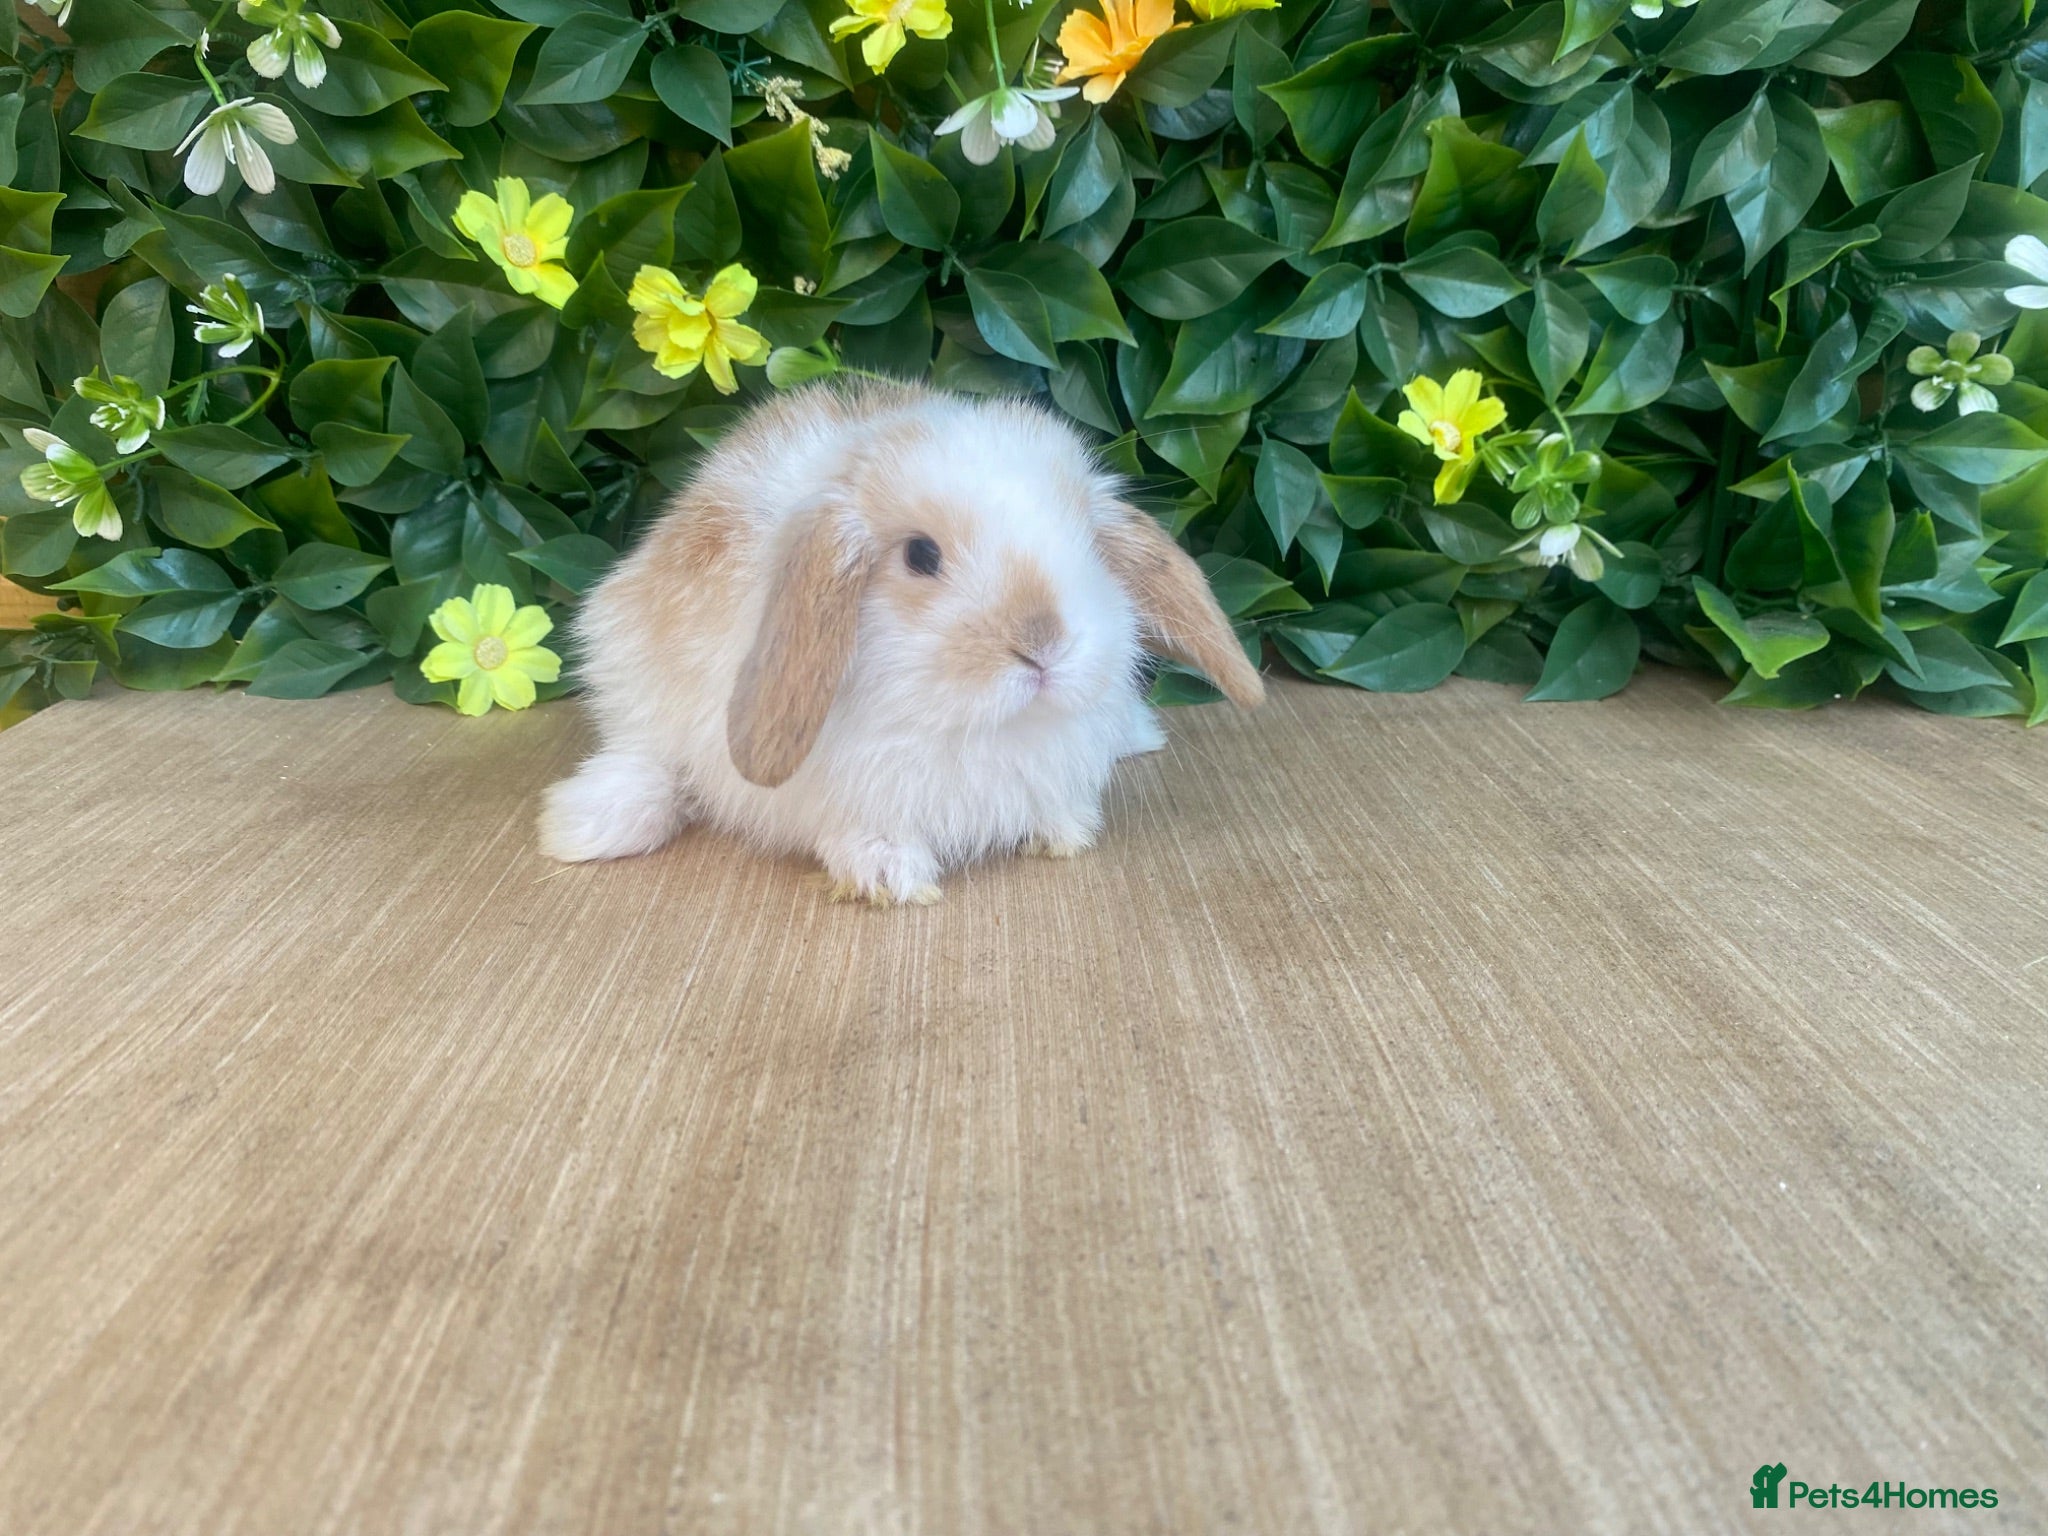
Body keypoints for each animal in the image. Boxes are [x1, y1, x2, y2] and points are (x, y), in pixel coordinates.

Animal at [536, 378, 1264, 904]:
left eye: (1087, 541)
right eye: (919, 555)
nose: (1044, 643)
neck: (973, 730)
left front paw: (1065, 829)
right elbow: (863, 830)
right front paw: (889, 875)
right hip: (628, 667)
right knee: (648, 755)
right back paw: (586, 826)